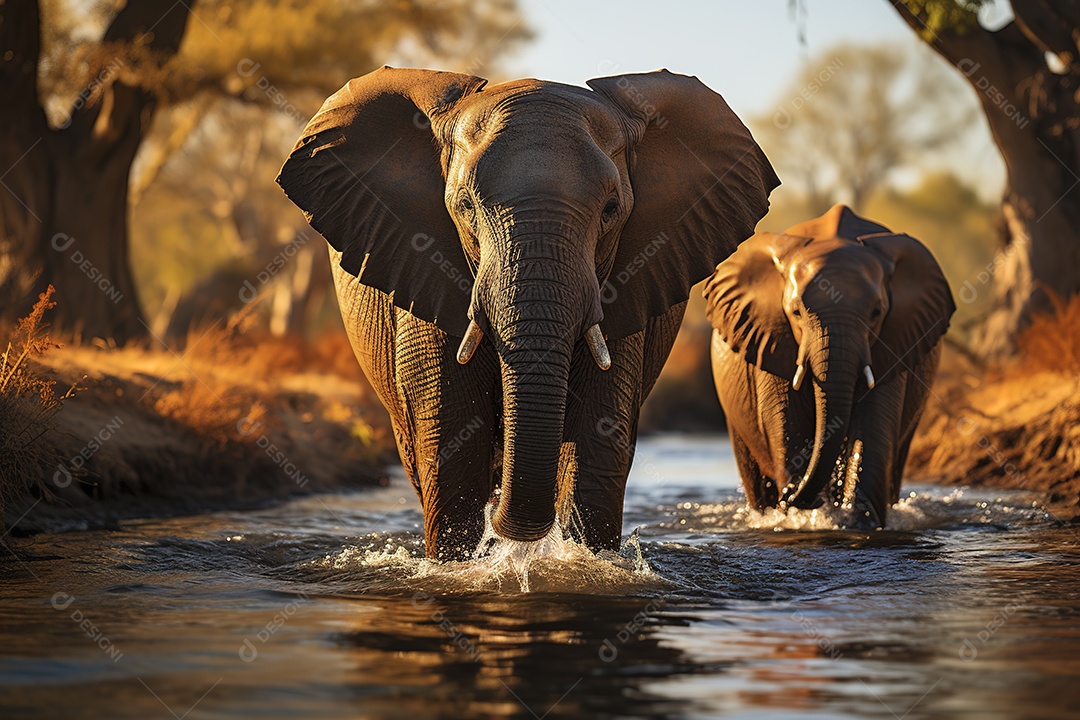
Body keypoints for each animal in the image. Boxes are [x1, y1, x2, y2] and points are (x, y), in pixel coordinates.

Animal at [704, 204, 955, 528]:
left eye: (876, 313)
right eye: (796, 312)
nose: (792, 495)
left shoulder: (894, 340)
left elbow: (873, 427)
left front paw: (856, 521)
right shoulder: (770, 339)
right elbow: (789, 425)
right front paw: (801, 518)